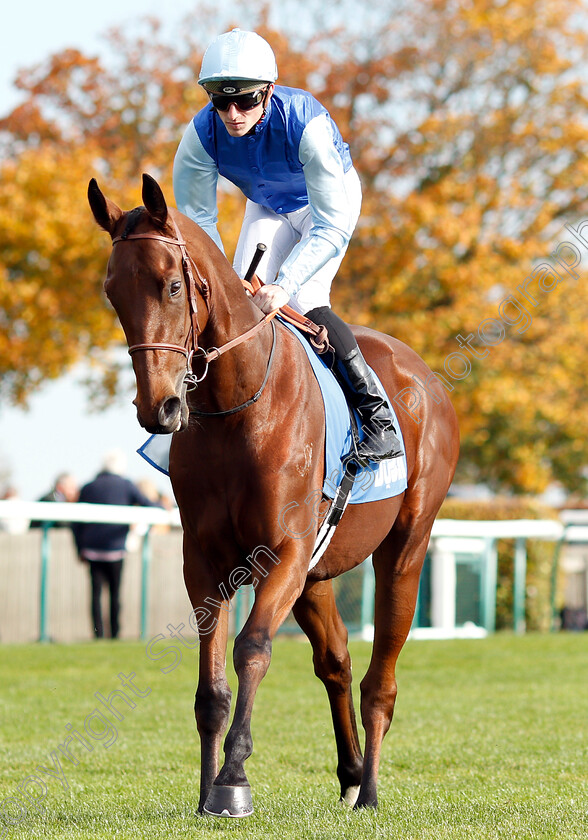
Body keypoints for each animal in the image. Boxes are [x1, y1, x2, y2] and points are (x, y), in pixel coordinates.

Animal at [87, 174, 460, 816]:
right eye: (114, 294)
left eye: (172, 285)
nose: (160, 407)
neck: (236, 406)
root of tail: (426, 380)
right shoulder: (204, 560)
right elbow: (211, 685)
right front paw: (207, 789)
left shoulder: (283, 551)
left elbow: (253, 648)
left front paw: (233, 778)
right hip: (316, 572)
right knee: (336, 661)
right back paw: (351, 774)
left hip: (405, 548)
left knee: (379, 680)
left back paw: (370, 791)